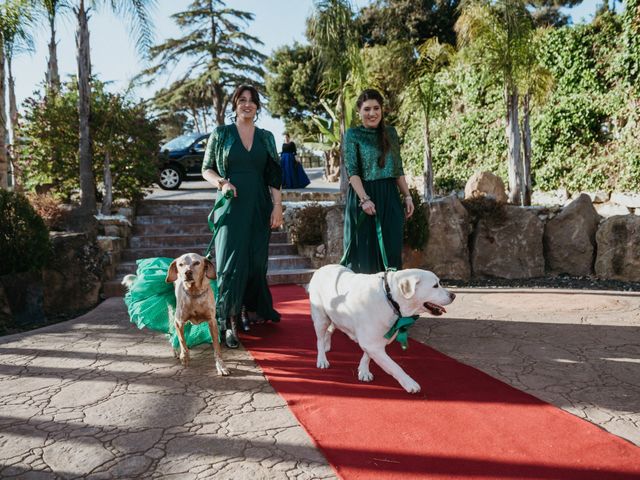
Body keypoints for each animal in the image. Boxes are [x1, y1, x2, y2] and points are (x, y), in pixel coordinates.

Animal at [308, 264, 456, 392]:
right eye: (435, 285)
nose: (453, 295)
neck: (390, 298)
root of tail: (321, 268)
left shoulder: (374, 341)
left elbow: (367, 356)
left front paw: (363, 370)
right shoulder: (372, 343)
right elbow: (394, 366)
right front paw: (409, 383)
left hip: (334, 317)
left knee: (329, 330)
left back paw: (327, 345)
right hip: (321, 318)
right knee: (319, 339)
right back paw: (322, 359)